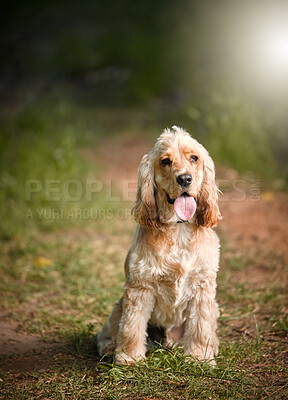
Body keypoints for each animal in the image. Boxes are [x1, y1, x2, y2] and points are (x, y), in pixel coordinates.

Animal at [97, 126, 223, 364]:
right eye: (165, 161)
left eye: (194, 158)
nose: (184, 179)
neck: (179, 229)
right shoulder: (140, 287)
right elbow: (131, 327)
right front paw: (129, 359)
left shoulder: (203, 288)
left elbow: (200, 327)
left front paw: (199, 358)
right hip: (119, 306)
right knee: (109, 332)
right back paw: (109, 347)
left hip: (214, 307)